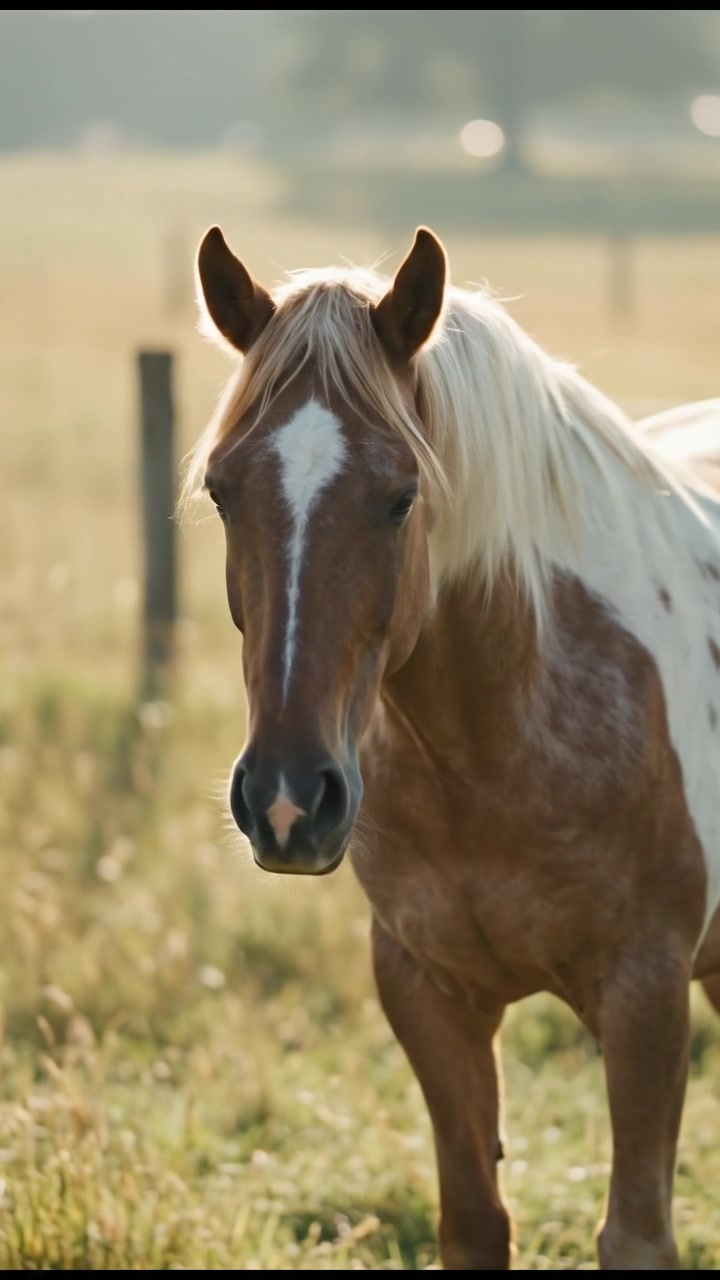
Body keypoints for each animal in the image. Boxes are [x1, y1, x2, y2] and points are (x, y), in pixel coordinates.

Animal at [185, 223, 720, 1270]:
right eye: (223, 492)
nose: (287, 801)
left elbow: (635, 1232)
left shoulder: (647, 997)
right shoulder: (427, 993)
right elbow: (473, 1220)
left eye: (402, 497)